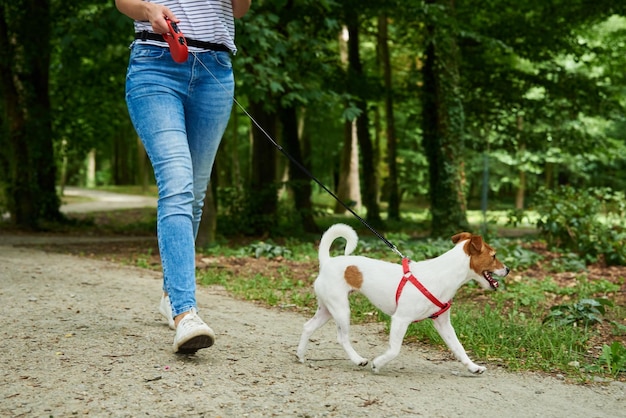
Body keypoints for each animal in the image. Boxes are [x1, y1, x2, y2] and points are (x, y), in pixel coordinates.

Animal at [296, 224, 508, 374]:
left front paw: (473, 367)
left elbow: (458, 347)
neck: (443, 274)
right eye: (494, 256)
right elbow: (394, 349)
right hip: (341, 309)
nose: (508, 269)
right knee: (342, 337)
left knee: (308, 326)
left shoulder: (443, 323)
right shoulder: (400, 320)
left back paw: (300, 355)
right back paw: (358, 359)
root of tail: (327, 262)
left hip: (326, 309)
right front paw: (378, 363)